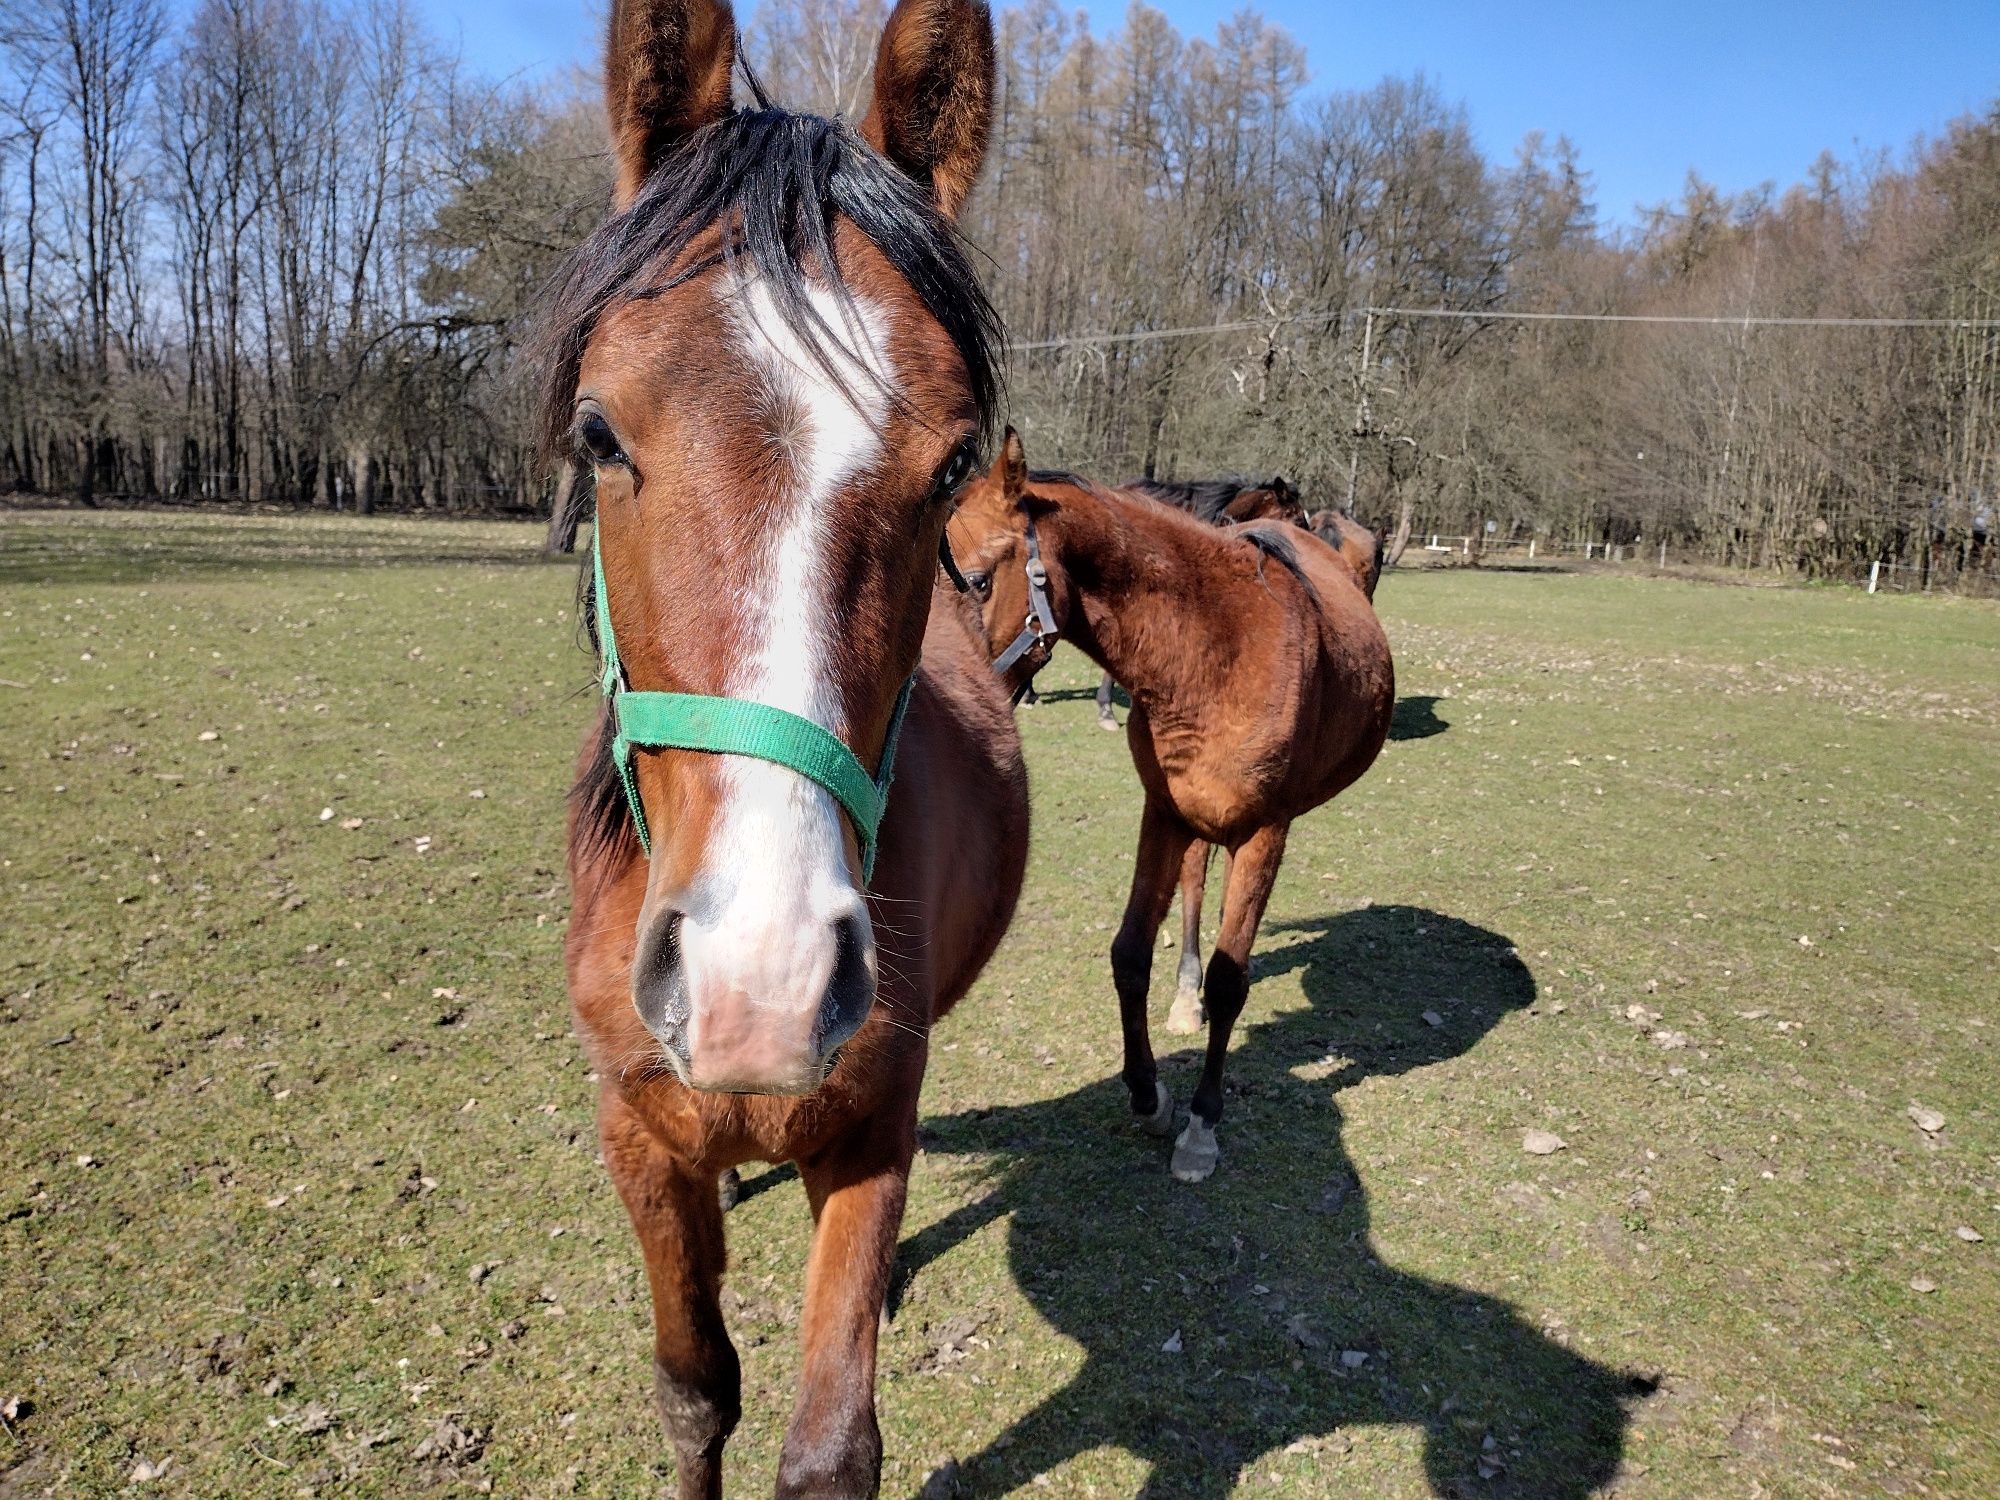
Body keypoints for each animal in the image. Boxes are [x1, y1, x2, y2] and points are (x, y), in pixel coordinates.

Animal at [540, 5, 1024, 1496]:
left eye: (950, 466)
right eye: (599, 434)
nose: (761, 982)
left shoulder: (870, 1128)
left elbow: (826, 1445)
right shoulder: (637, 1137)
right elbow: (695, 1389)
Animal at [948, 432, 1392, 1184]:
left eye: (979, 580)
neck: (1215, 651)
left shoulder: (1263, 832)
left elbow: (1231, 979)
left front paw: (1201, 1126)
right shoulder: (1161, 812)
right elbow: (1130, 954)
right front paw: (1150, 1096)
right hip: (1191, 819)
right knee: (1191, 890)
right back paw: (1183, 999)